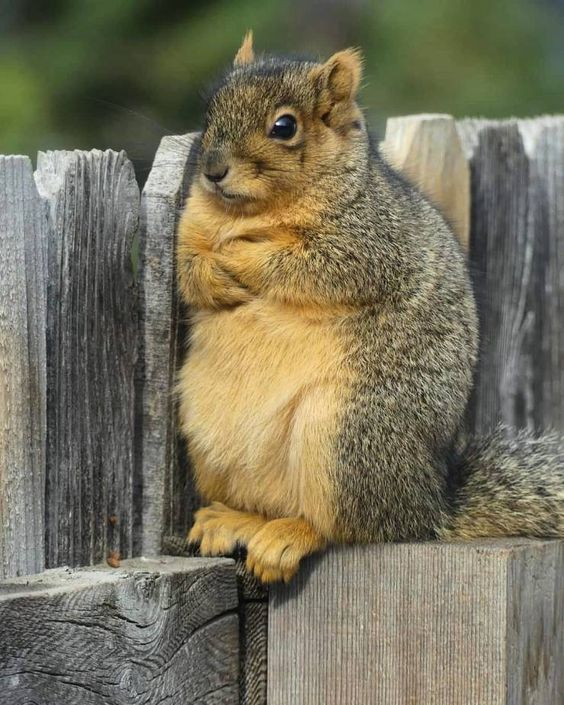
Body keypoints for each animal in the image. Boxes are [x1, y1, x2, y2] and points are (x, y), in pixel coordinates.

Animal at [175, 32, 564, 583]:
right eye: (210, 109)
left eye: (284, 126)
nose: (211, 170)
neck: (250, 212)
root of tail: (428, 506)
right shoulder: (189, 227)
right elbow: (187, 268)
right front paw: (213, 275)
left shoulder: (369, 240)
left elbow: (309, 265)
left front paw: (240, 256)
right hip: (208, 436)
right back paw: (234, 519)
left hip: (345, 437)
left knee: (347, 527)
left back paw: (289, 537)